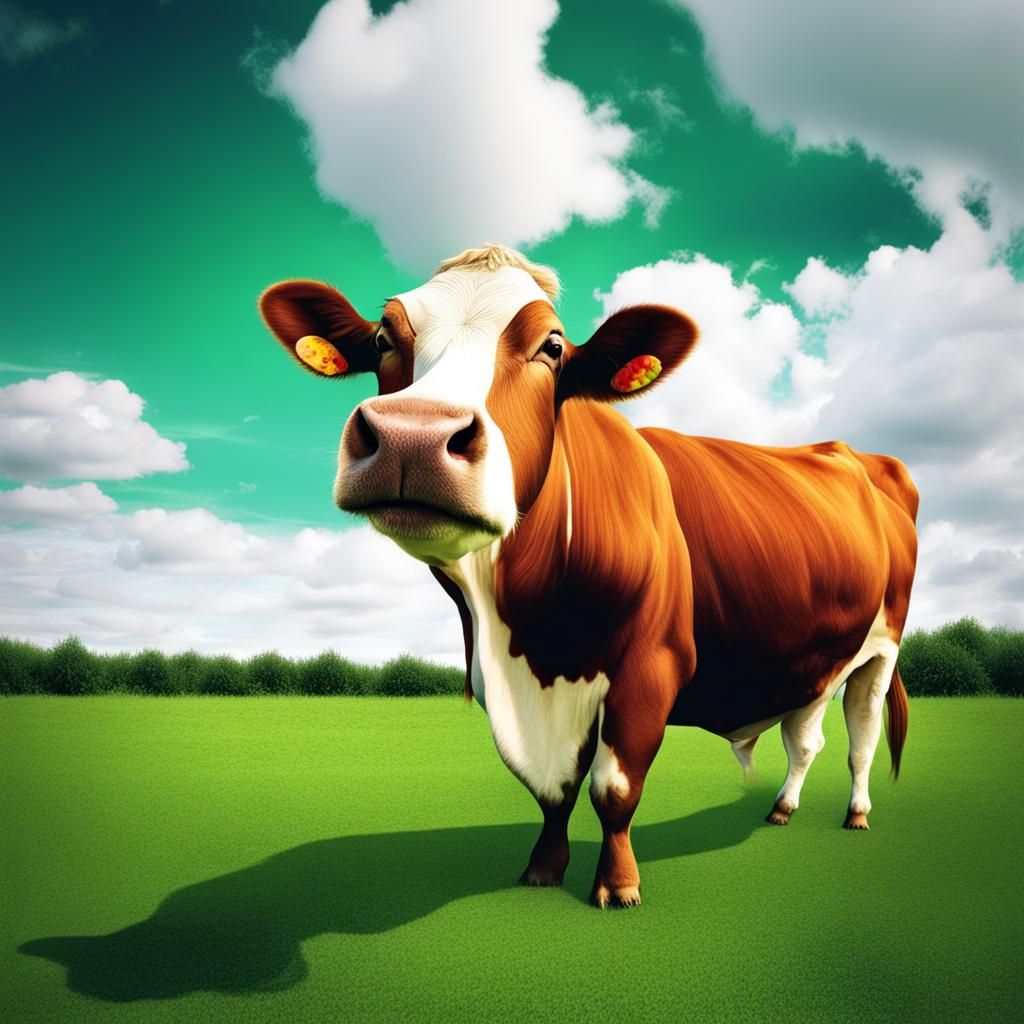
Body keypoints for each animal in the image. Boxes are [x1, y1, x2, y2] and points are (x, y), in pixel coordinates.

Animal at [260, 243, 918, 908]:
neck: (534, 634)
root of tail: (858, 454)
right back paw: (781, 808)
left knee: (861, 737)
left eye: (552, 347)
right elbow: (553, 788)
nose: (412, 438)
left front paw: (619, 884)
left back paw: (857, 813)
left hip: (880, 647)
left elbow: (614, 786)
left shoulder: (652, 665)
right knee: (805, 737)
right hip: (812, 657)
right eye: (381, 337)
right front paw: (543, 868)